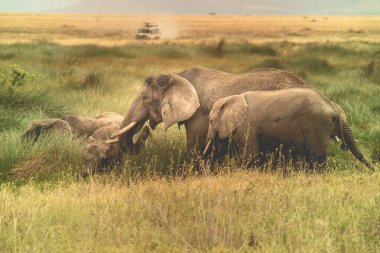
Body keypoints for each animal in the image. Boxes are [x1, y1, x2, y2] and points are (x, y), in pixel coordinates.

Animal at [203, 87, 372, 170]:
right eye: (335, 120)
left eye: (210, 121)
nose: (373, 170)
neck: (234, 98)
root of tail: (328, 103)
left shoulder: (247, 127)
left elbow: (249, 155)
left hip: (316, 125)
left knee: (317, 157)